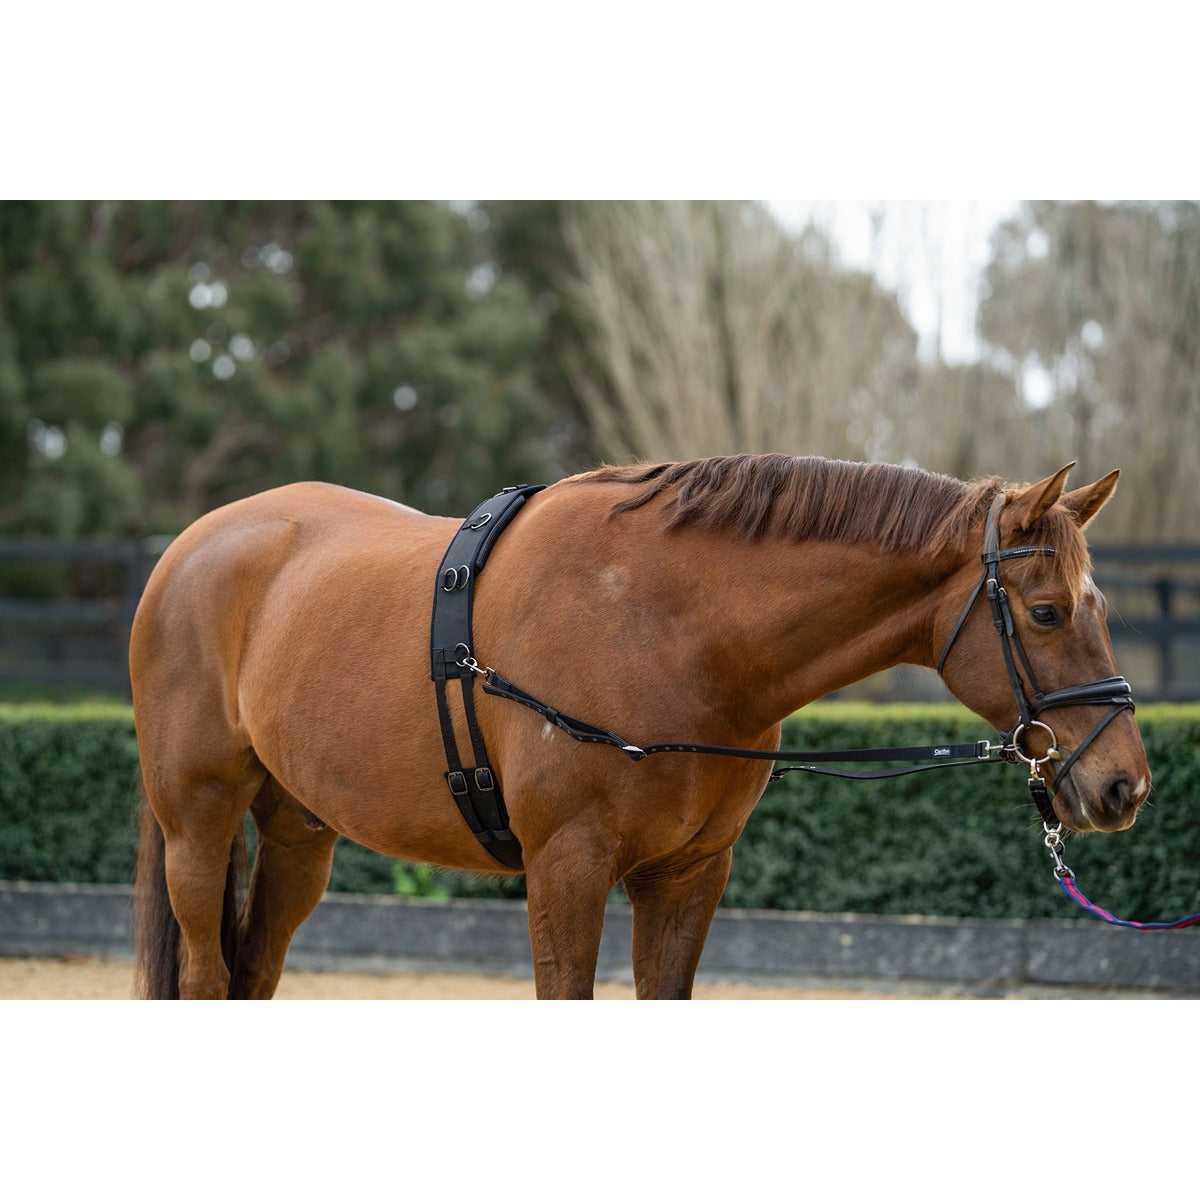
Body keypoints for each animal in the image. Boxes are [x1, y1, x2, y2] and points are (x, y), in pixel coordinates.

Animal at [130, 453, 1150, 999]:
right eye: (1049, 612)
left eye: (1100, 605)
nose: (1124, 783)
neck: (668, 629)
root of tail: (189, 547)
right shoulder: (567, 867)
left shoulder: (689, 875)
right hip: (197, 827)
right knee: (207, 975)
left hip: (299, 833)